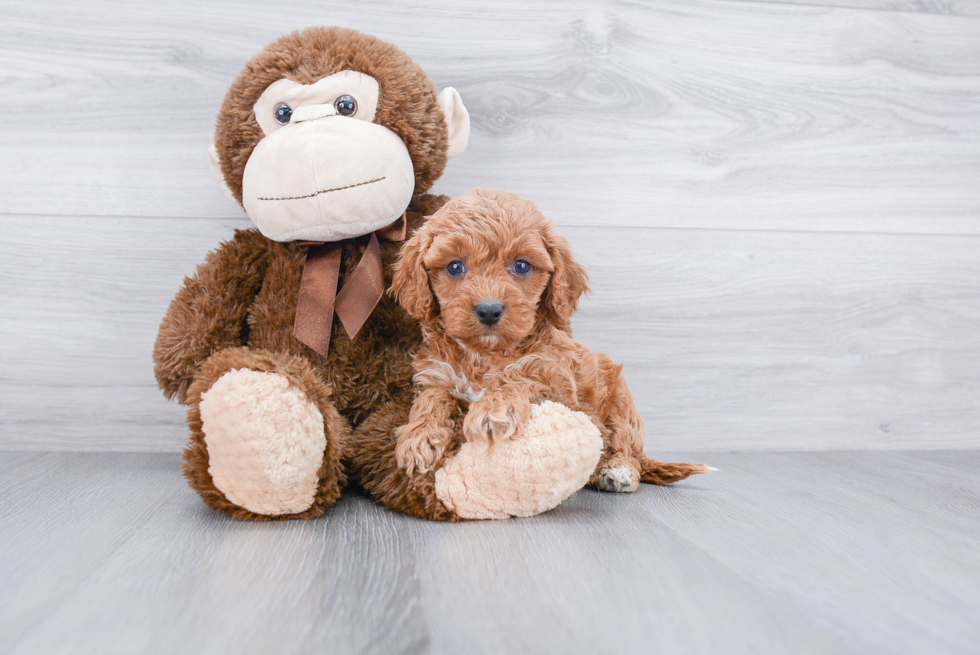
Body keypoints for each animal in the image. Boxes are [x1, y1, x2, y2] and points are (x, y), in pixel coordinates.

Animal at [390, 186, 712, 492]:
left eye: (521, 266)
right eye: (455, 267)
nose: (489, 310)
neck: (484, 355)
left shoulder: (556, 378)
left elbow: (517, 377)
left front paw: (494, 410)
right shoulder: (436, 373)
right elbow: (433, 396)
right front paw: (420, 438)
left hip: (621, 400)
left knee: (625, 444)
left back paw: (618, 471)